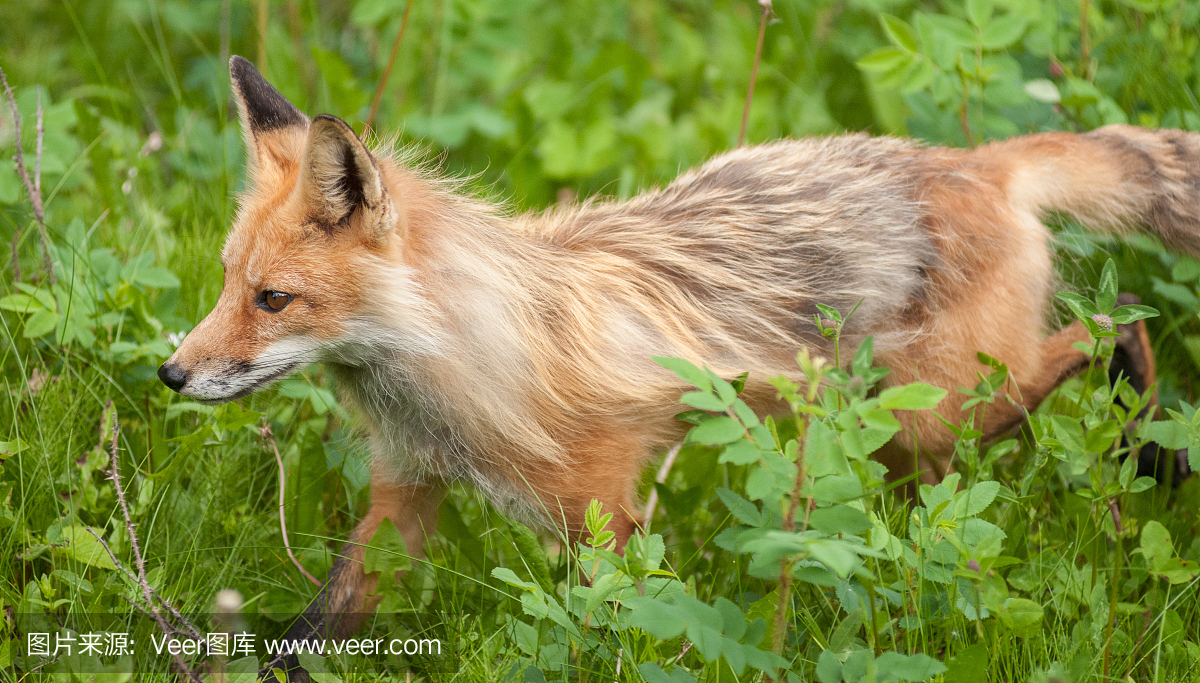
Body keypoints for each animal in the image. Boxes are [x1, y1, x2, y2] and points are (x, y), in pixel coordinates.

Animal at [159, 55, 1190, 662]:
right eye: (225, 283)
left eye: (273, 300)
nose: (170, 375)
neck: (466, 367)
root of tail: (978, 161)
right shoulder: (405, 493)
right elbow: (314, 628)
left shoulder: (604, 511)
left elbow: (622, 635)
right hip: (900, 438)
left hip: (944, 405)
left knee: (1119, 323)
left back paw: (1154, 448)